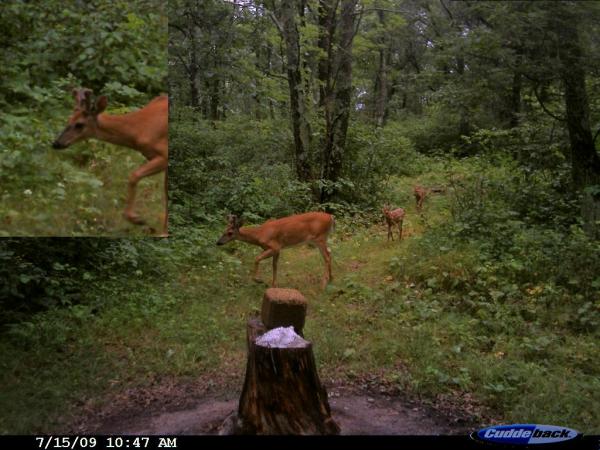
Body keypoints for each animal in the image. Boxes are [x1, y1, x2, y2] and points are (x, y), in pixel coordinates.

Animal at [51, 87, 168, 236]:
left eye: (79, 124)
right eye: (68, 119)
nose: (56, 143)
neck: (139, 129)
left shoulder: (165, 155)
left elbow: (134, 176)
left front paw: (137, 219)